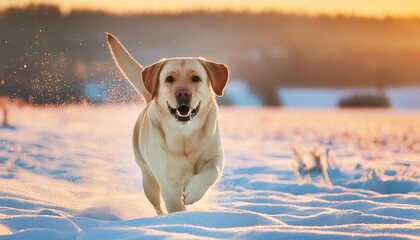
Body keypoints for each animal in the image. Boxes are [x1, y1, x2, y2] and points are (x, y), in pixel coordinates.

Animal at [106, 32, 228, 215]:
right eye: (169, 79)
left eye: (196, 78)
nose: (183, 93)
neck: (184, 135)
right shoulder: (168, 185)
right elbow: (176, 208)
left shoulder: (215, 157)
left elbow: (211, 171)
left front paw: (193, 192)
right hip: (148, 180)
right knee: (157, 205)